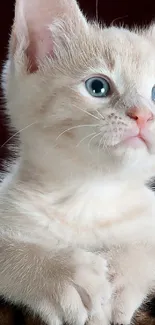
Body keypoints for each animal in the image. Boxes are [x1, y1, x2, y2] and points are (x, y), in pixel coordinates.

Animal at [1, 0, 155, 324]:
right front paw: (59, 275)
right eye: (98, 87)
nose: (144, 115)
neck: (90, 195)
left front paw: (122, 275)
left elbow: (147, 247)